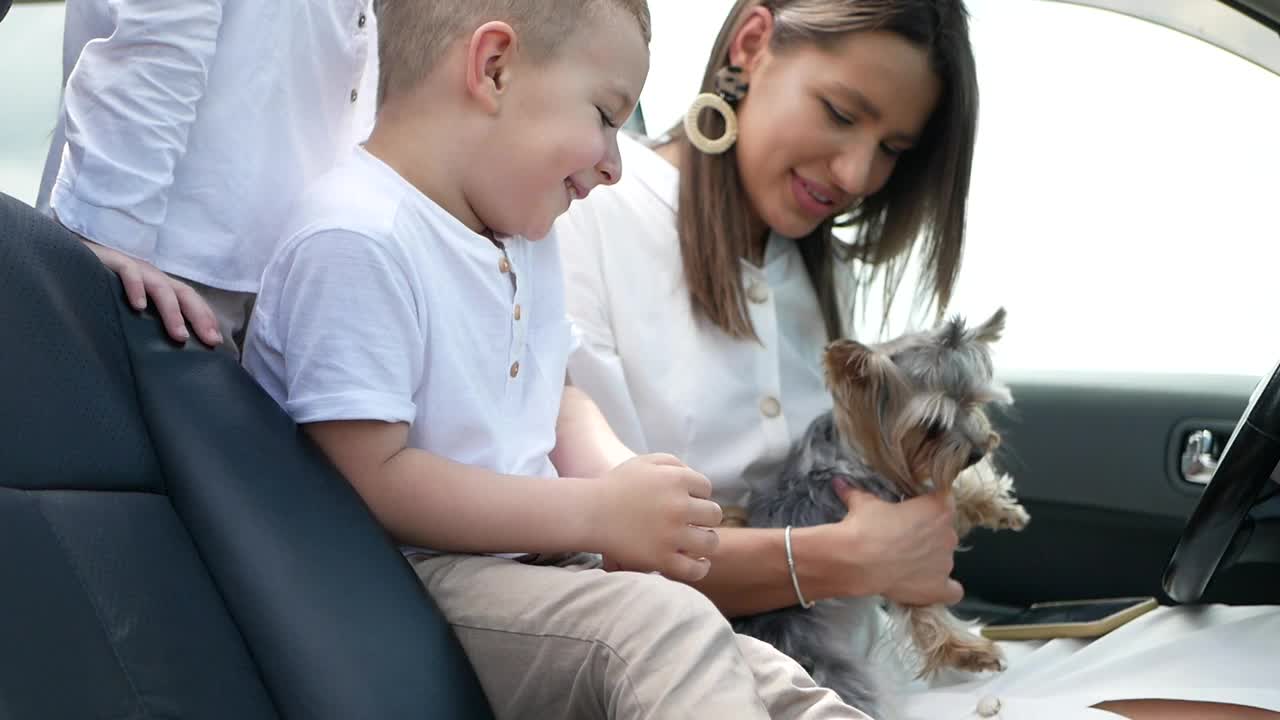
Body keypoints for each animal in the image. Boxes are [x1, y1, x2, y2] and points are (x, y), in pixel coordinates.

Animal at [737, 307, 1024, 712]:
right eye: (932, 426)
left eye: (973, 402)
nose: (977, 451)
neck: (859, 455)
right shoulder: (897, 561)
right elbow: (926, 615)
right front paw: (966, 652)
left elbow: (954, 496)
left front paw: (999, 507)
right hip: (828, 665)